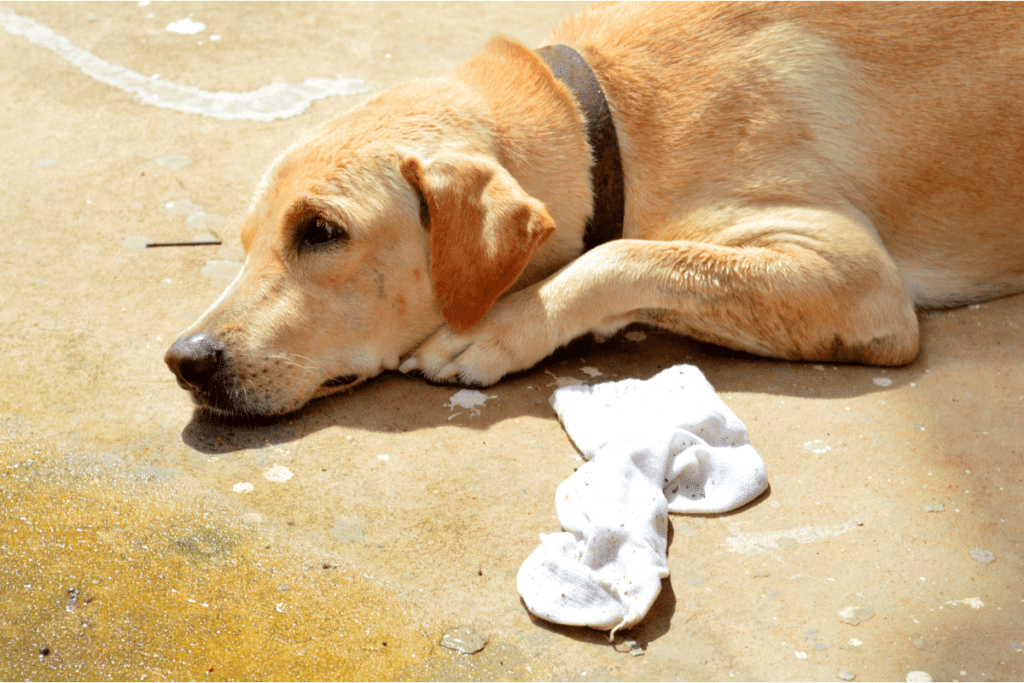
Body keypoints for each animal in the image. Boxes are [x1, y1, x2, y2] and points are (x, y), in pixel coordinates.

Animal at [163, 2, 1024, 417]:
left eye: (322, 232)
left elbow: (622, 253)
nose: (185, 359)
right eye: (247, 240)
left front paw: (502, 328)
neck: (600, 112)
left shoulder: (856, 275)